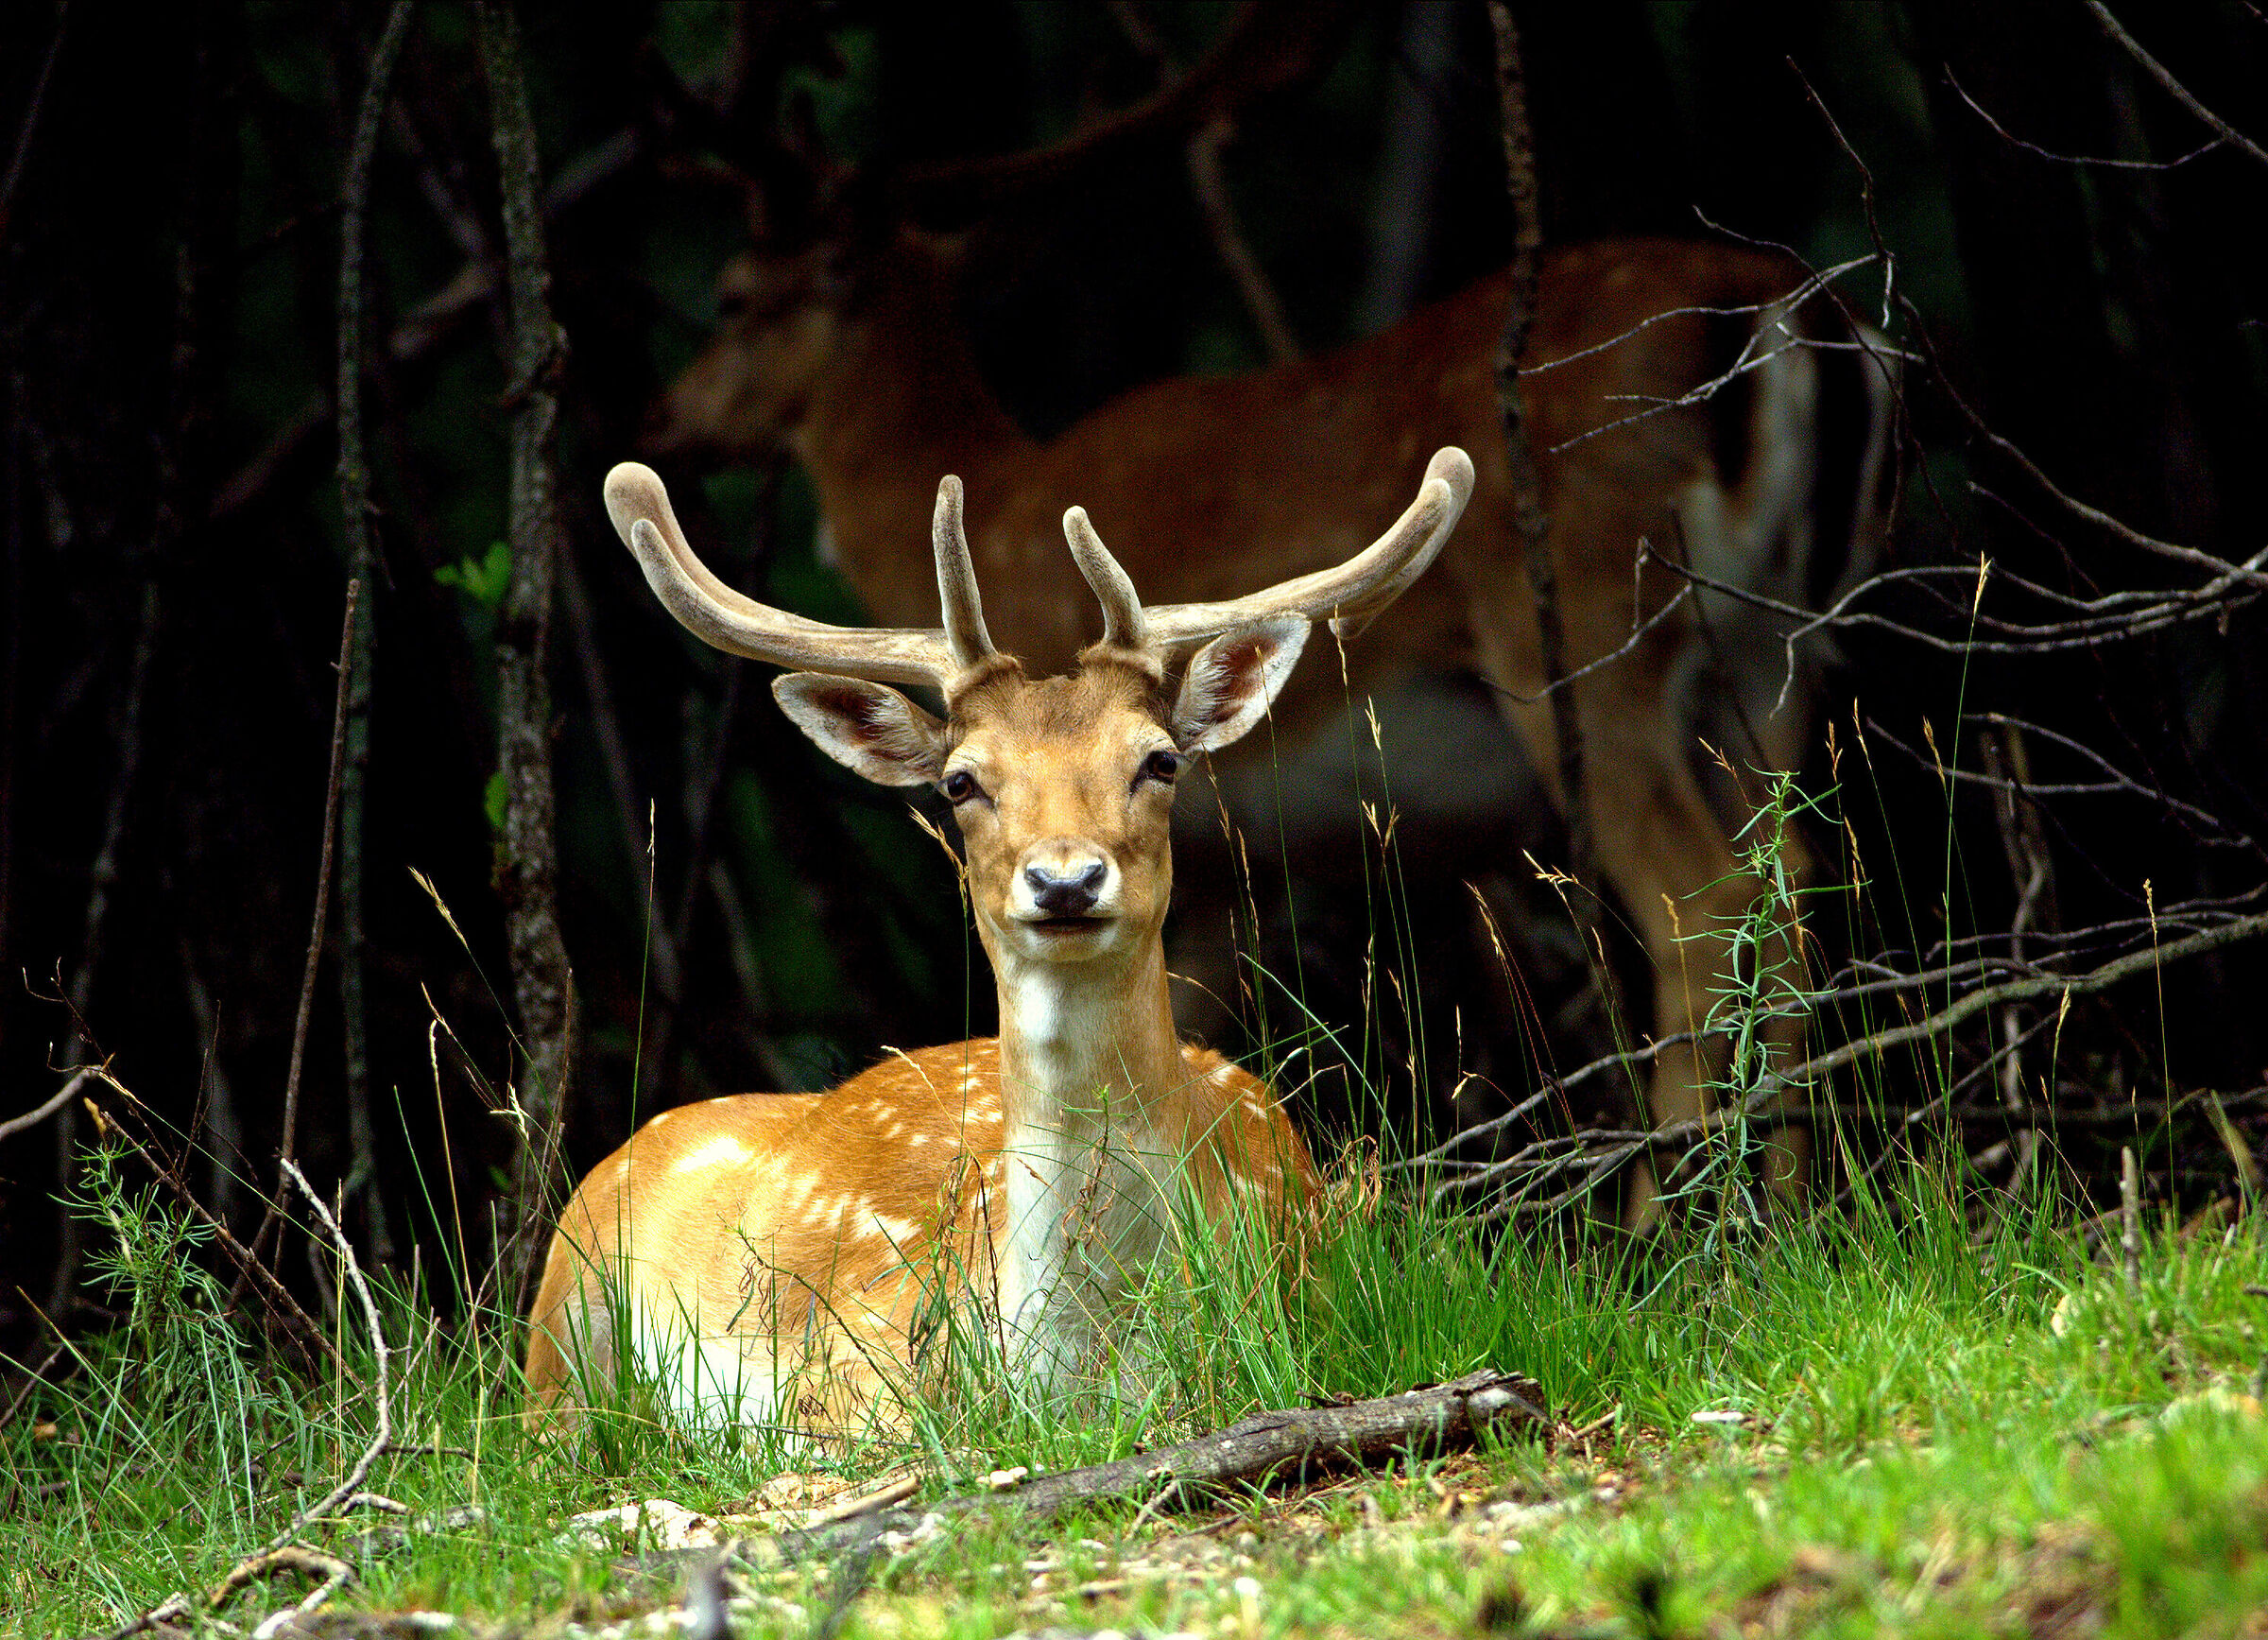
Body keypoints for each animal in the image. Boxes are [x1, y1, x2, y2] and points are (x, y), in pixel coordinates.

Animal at [523, 446, 1475, 1434]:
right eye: (959, 781)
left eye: (1160, 759)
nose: (1065, 880)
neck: (1079, 1369)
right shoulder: (847, 1378)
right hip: (562, 1332)